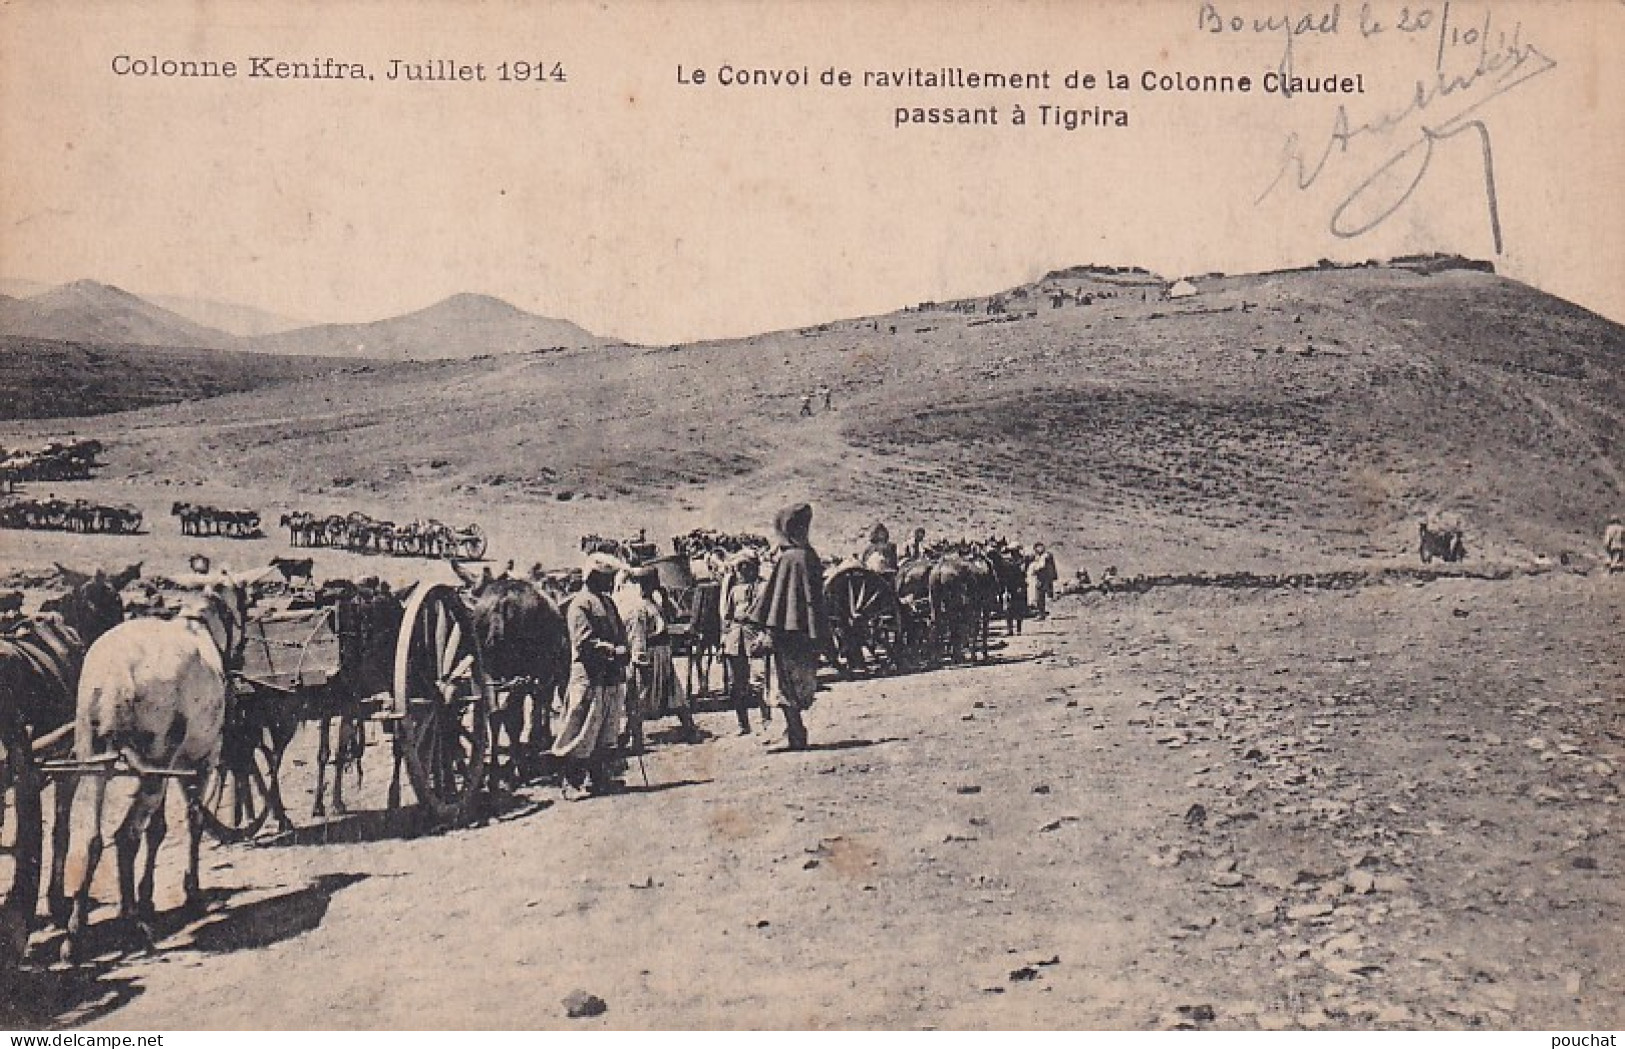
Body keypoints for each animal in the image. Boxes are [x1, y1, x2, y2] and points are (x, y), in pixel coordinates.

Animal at [47, 574, 245, 961]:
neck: (197, 625)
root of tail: (119, 674)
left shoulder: (170, 768)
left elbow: (158, 829)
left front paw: (148, 897)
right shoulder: (200, 761)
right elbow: (192, 821)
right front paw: (190, 891)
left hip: (95, 758)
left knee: (91, 838)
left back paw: (76, 932)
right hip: (156, 764)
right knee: (126, 836)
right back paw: (131, 921)